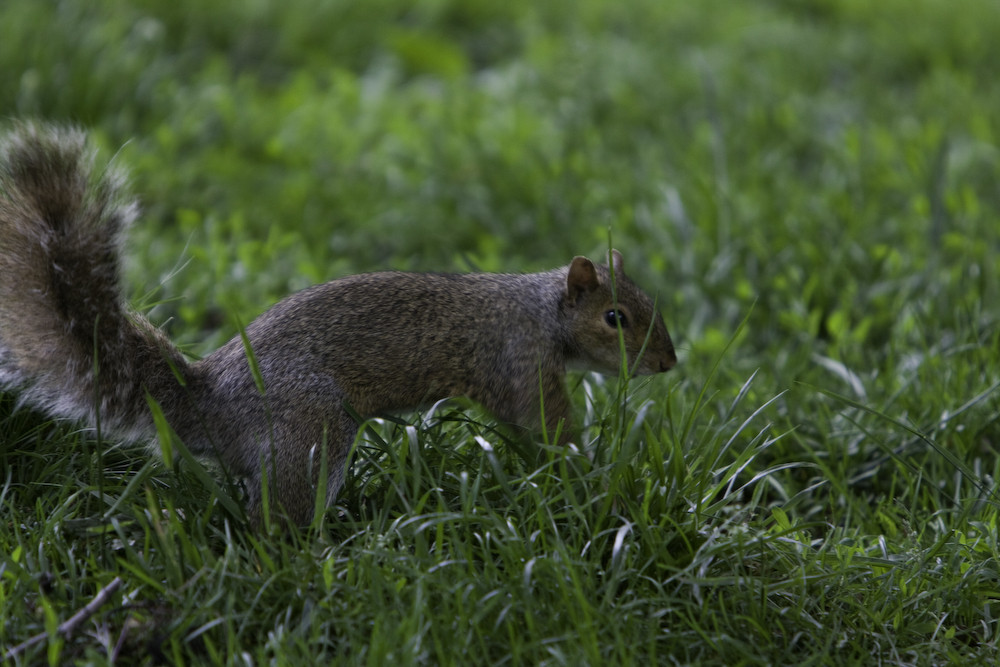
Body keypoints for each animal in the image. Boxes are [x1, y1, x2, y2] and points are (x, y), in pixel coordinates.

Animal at [0, 121, 676, 528]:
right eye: (615, 318)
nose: (669, 363)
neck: (542, 310)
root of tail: (208, 401)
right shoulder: (519, 361)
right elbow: (544, 423)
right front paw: (589, 470)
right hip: (313, 431)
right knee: (277, 521)